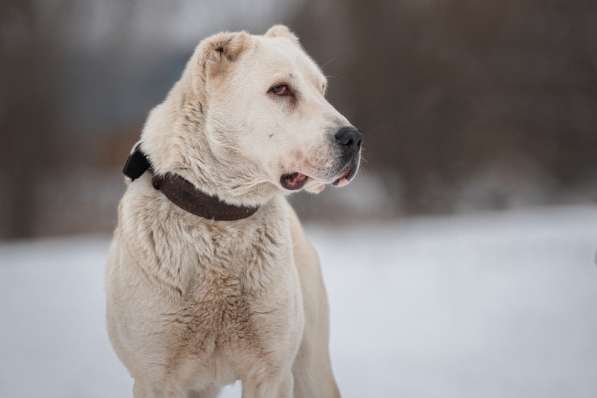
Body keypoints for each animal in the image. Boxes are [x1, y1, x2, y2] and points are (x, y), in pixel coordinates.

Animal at [105, 25, 360, 398]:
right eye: (280, 89)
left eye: (322, 89)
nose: (353, 138)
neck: (219, 219)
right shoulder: (156, 379)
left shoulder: (271, 374)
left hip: (312, 367)